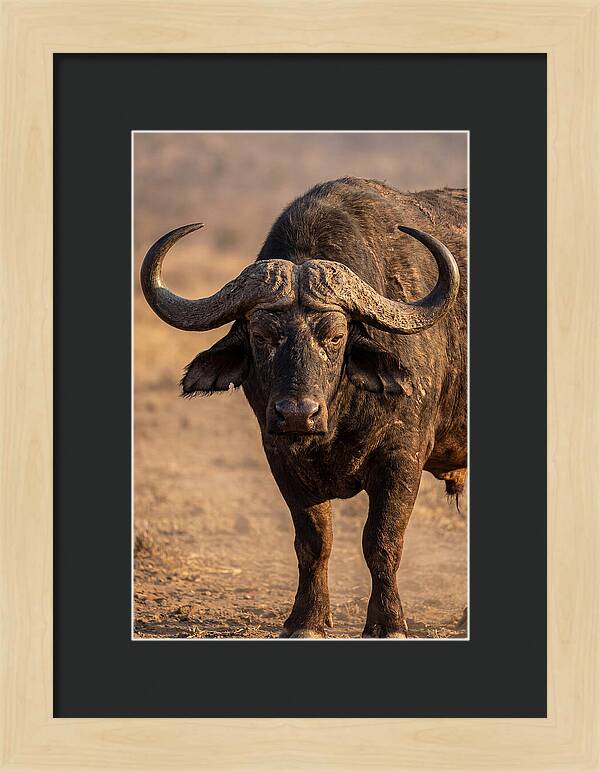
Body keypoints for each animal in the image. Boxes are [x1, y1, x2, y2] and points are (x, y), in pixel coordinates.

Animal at [140, 177, 467, 638]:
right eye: (261, 335)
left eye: (335, 336)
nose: (297, 413)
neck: (336, 420)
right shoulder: (280, 456)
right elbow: (314, 542)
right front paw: (307, 620)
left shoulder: (401, 457)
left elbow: (382, 541)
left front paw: (388, 623)